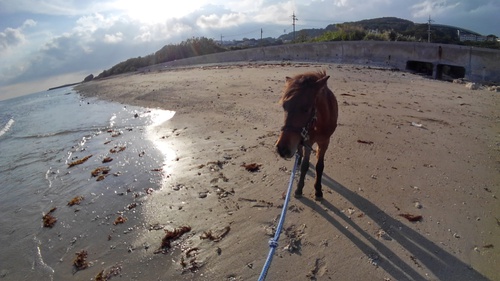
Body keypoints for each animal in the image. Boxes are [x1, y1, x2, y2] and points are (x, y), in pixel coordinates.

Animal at [276, 69, 338, 199]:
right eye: (284, 106)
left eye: (306, 109)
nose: (282, 149)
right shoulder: (308, 142)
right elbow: (305, 165)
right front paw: (299, 189)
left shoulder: (325, 142)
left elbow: (320, 166)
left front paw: (318, 190)